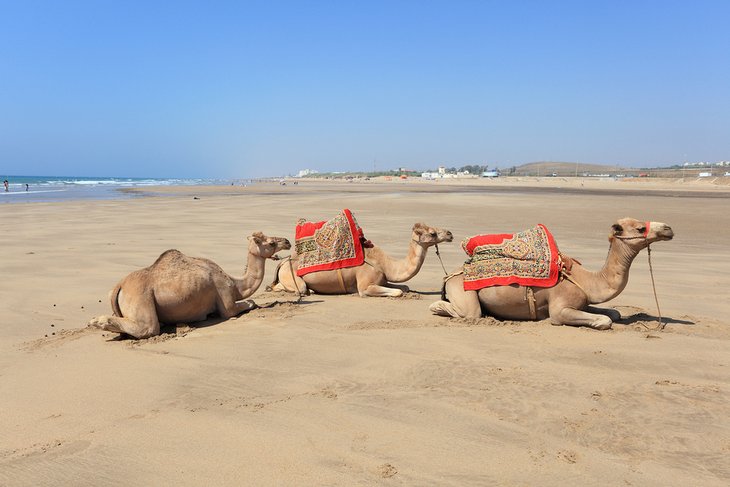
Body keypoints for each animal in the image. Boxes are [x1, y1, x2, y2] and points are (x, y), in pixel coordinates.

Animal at [87, 233, 288, 340]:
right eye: (271, 242)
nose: (286, 241)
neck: (235, 284)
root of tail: (119, 286)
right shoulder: (226, 301)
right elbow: (249, 303)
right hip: (141, 298)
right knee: (149, 328)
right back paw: (97, 321)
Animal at [270, 224, 452, 298]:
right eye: (432, 233)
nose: (450, 233)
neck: (385, 264)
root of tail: (283, 262)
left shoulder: (382, 278)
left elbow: (405, 287)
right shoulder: (365, 286)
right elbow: (398, 292)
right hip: (292, 277)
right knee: (296, 288)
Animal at [426, 218, 672, 330]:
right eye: (640, 228)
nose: (668, 228)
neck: (586, 280)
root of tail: (452, 275)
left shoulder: (582, 301)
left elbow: (614, 313)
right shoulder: (560, 309)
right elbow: (604, 320)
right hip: (463, 293)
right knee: (467, 311)